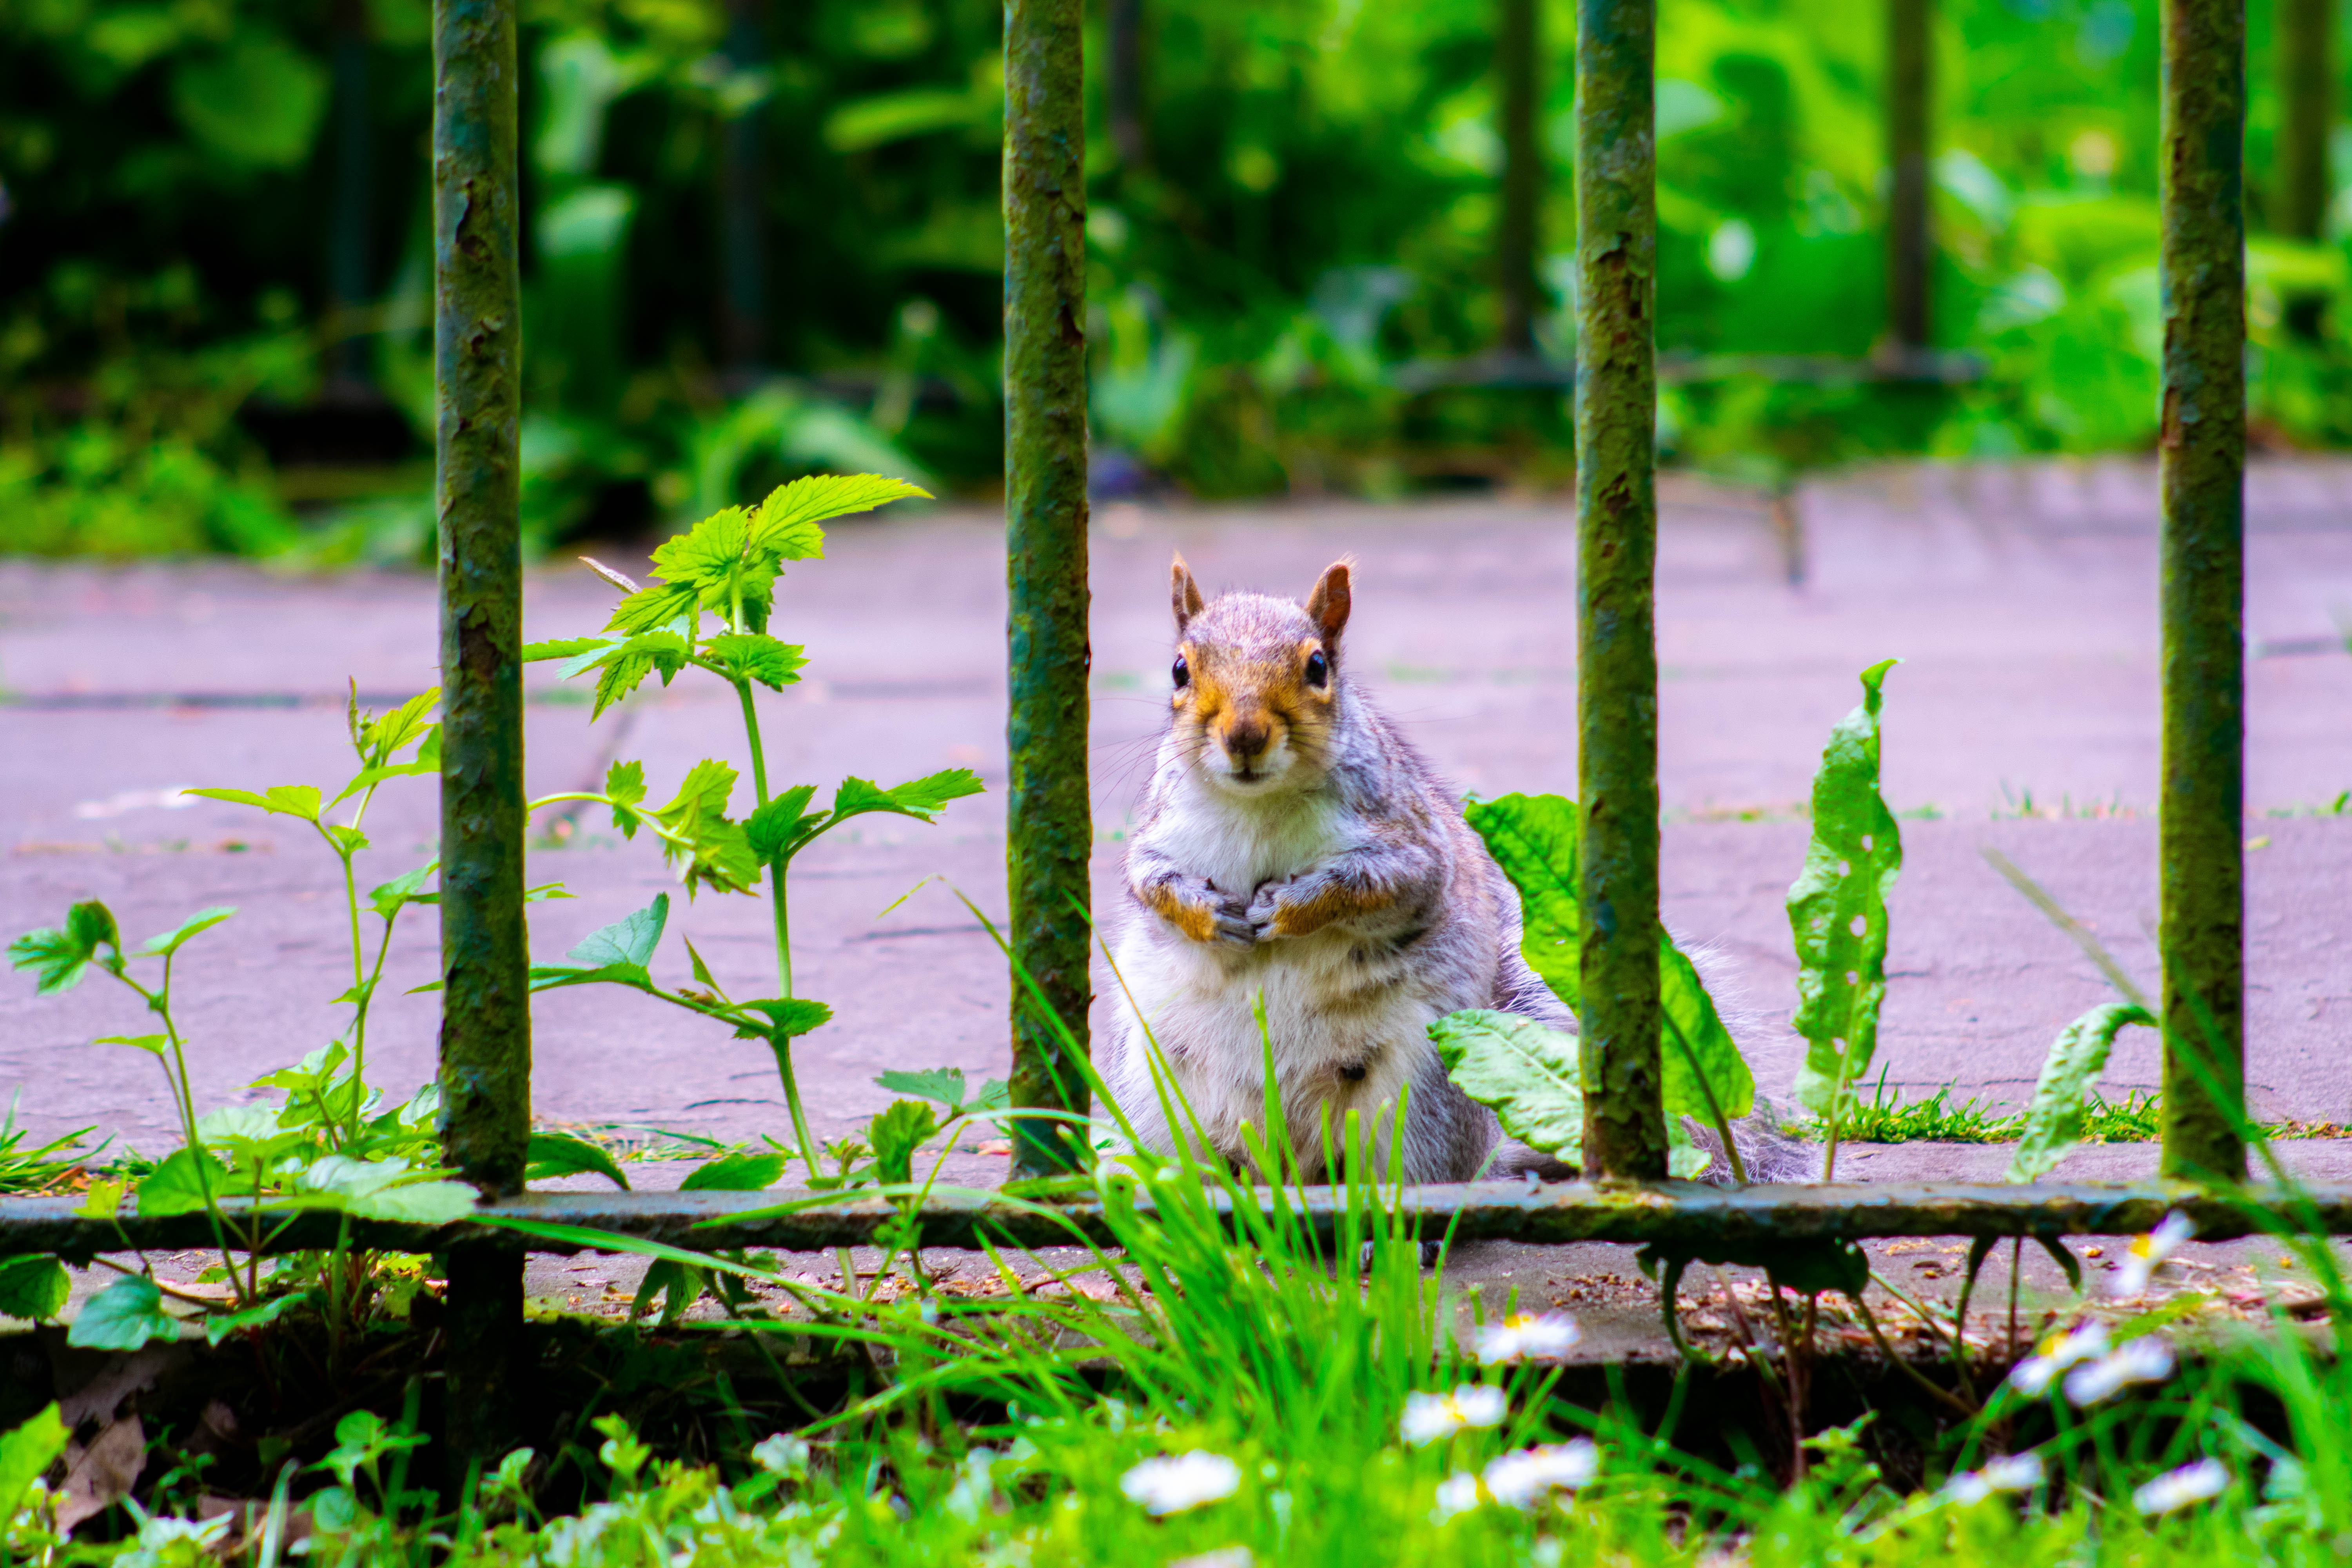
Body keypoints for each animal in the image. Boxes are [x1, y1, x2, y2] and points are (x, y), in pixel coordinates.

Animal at [1100, 554, 1812, 1187]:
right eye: (1179, 670)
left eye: (1318, 667)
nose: (1244, 736)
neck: (1257, 806)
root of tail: (1290, 1171)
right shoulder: (1159, 835)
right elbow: (1149, 882)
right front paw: (1208, 914)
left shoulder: (1411, 847)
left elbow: (1369, 886)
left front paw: (1290, 907)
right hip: (1158, 1094)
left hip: (1422, 1096)